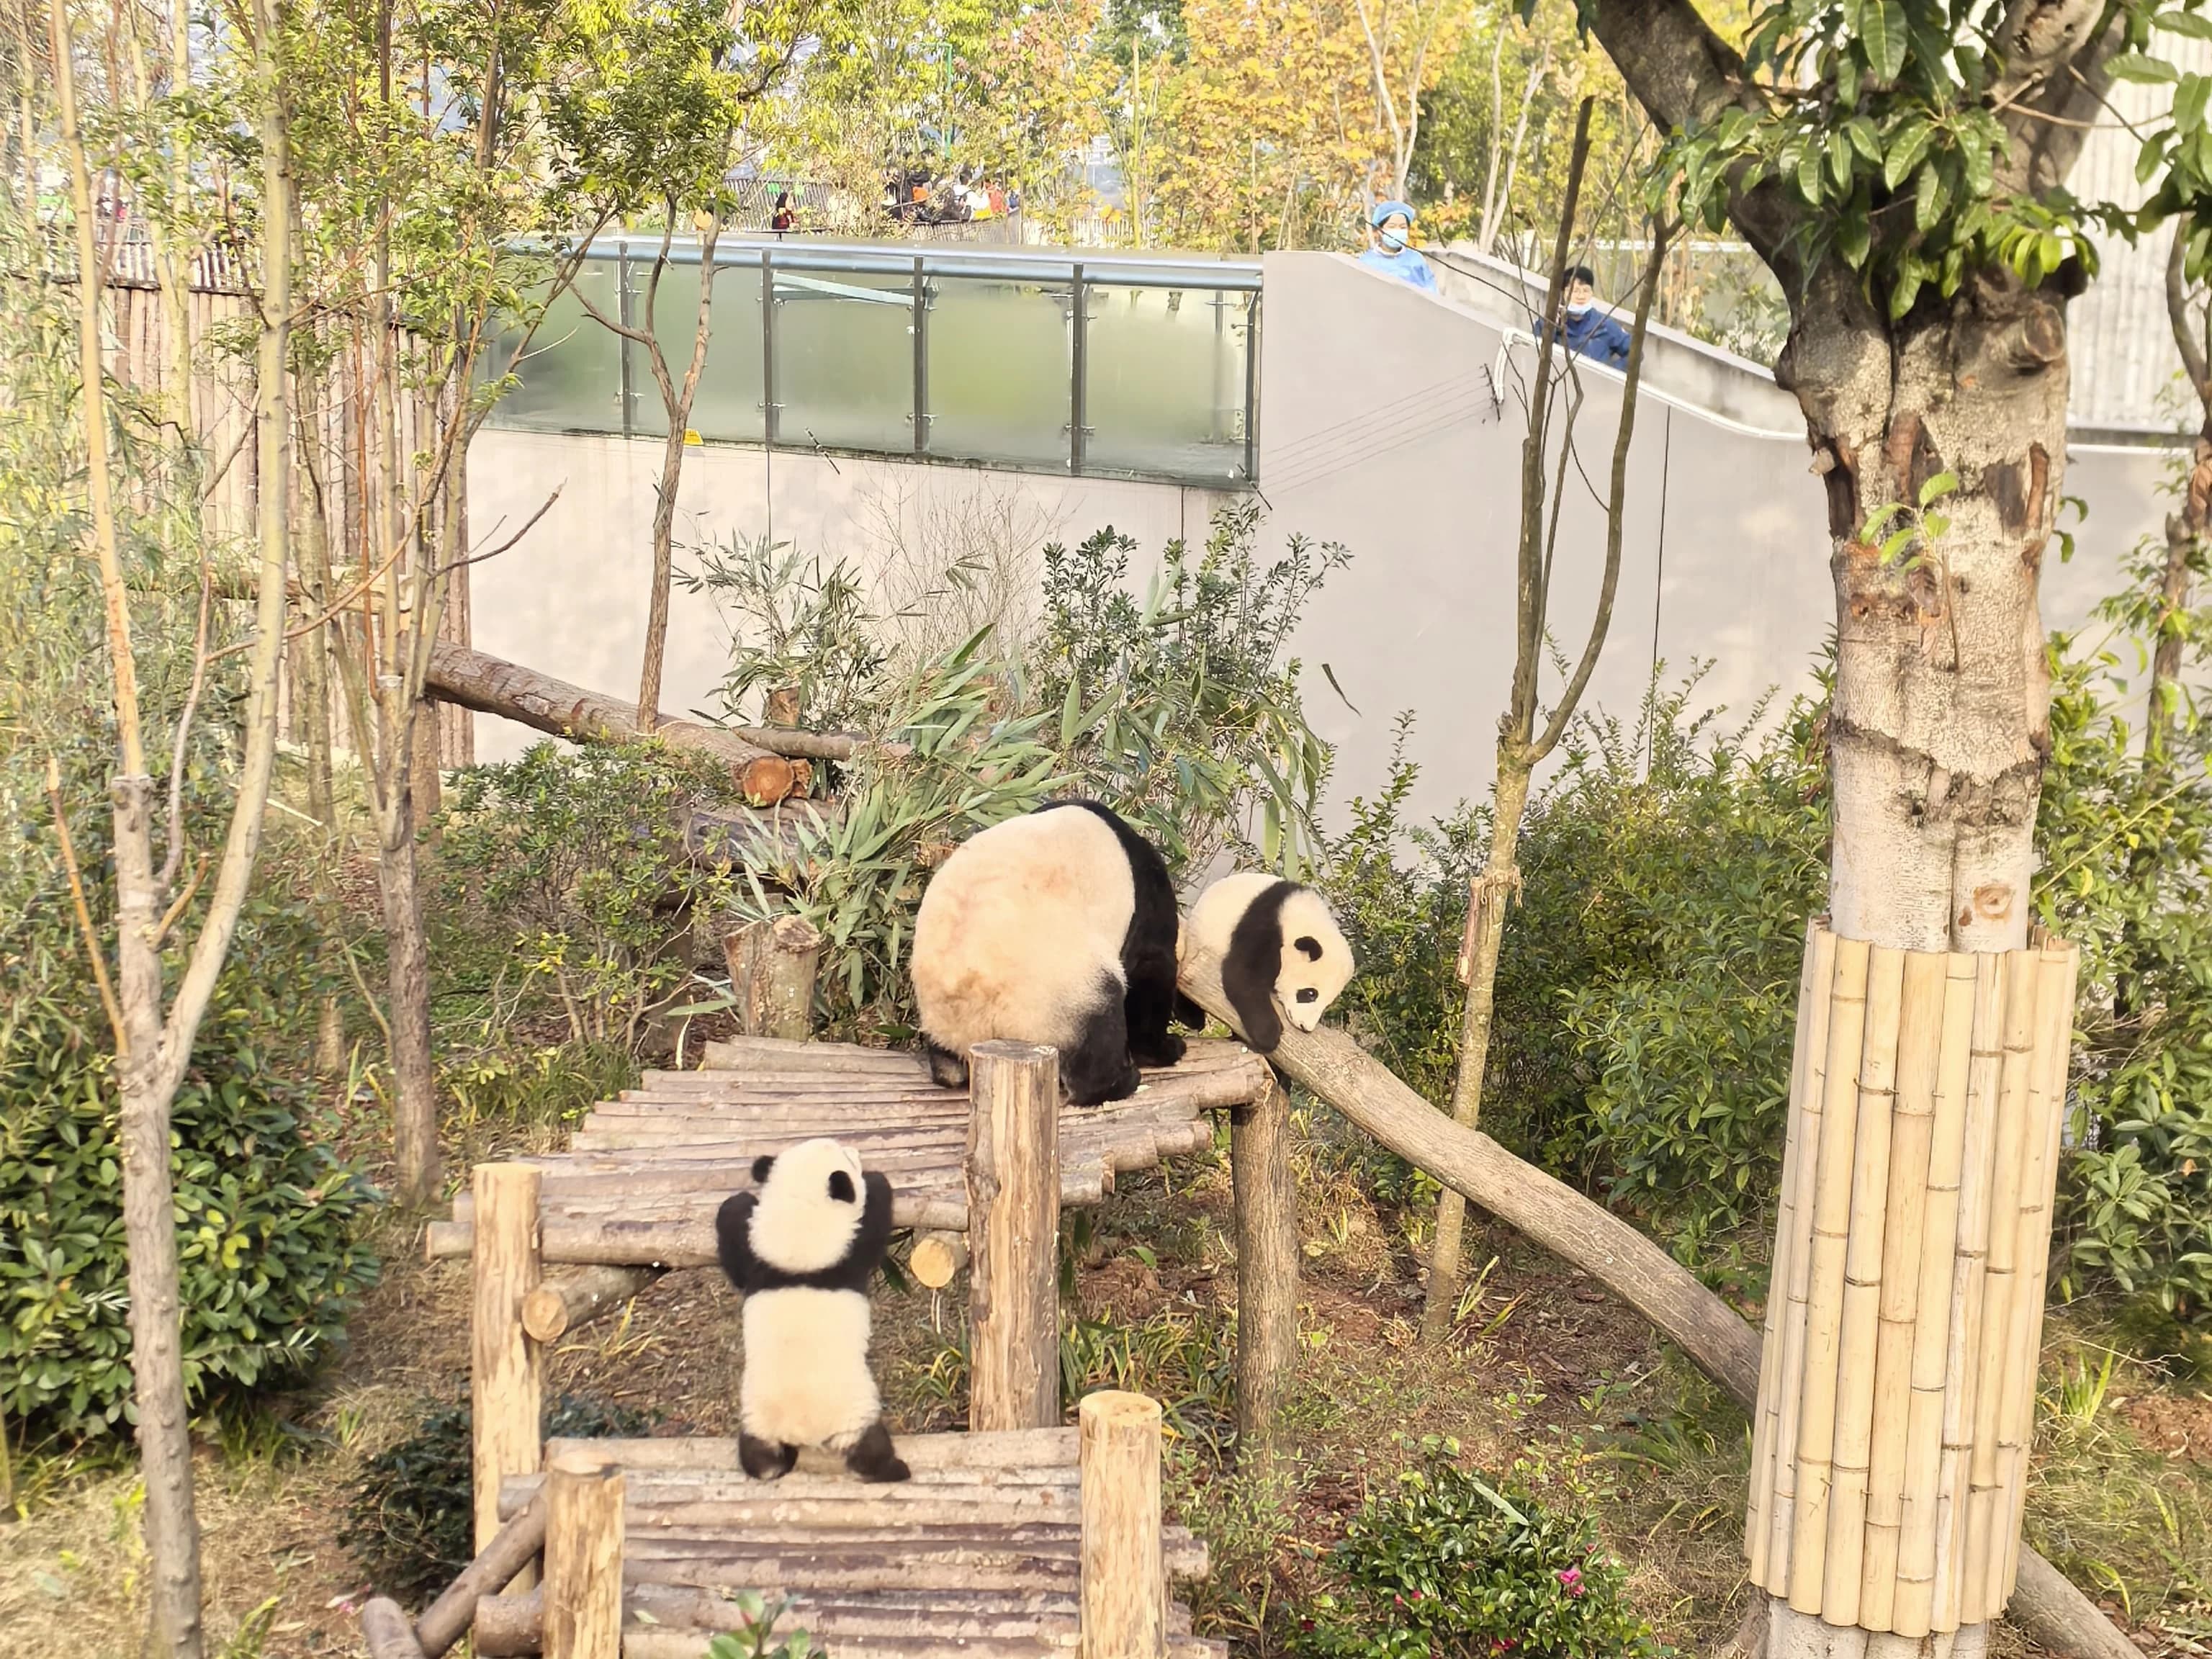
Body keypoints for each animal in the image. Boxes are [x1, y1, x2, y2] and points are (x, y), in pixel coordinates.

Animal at [713, 1137, 910, 1483]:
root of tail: (802, 1432)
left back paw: (767, 1466)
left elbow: (736, 1251)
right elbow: (872, 1226)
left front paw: (737, 1201)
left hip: (758, 1417)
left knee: (759, 1454)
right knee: (869, 1449)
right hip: (853, 1411)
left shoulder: (760, 1264)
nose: (856, 1152)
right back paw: (894, 1470)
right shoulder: (847, 1253)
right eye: (847, 1157)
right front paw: (877, 1182)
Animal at [910, 798, 1184, 1106]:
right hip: (1055, 984)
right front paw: (1166, 1048)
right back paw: (1118, 1083)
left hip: (942, 1017)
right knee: (1098, 1020)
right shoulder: (1144, 905)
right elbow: (1150, 971)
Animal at [1177, 871, 1356, 1054]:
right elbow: (1241, 975)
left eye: (1328, 1003)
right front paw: (1270, 1035)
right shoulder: (1262, 927)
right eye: (1311, 993)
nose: (1306, 1027)